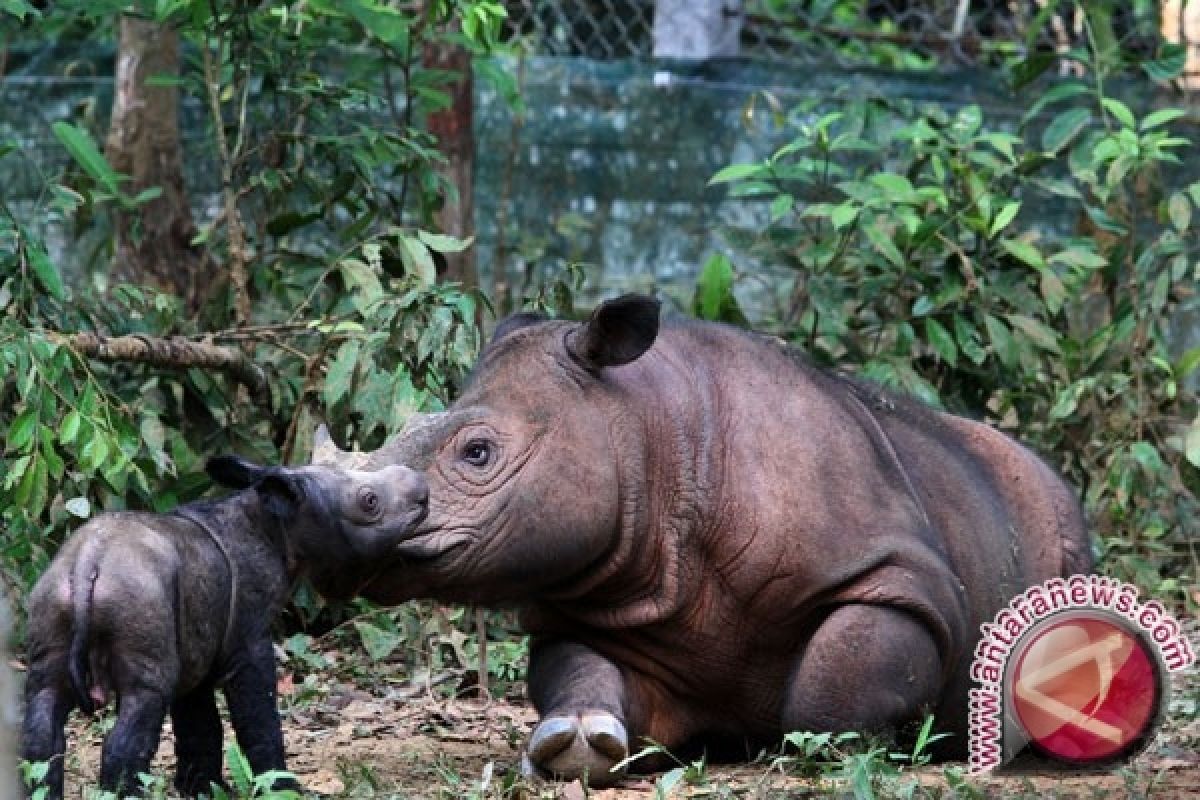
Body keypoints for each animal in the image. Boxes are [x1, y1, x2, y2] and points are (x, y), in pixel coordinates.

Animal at [21, 455, 429, 800]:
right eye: (369, 501)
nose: (423, 491)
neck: (276, 525)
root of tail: (88, 563)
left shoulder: (197, 645)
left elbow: (200, 725)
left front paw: (202, 791)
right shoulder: (248, 638)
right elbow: (257, 718)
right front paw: (282, 789)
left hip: (52, 597)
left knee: (44, 715)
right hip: (135, 599)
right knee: (143, 699)